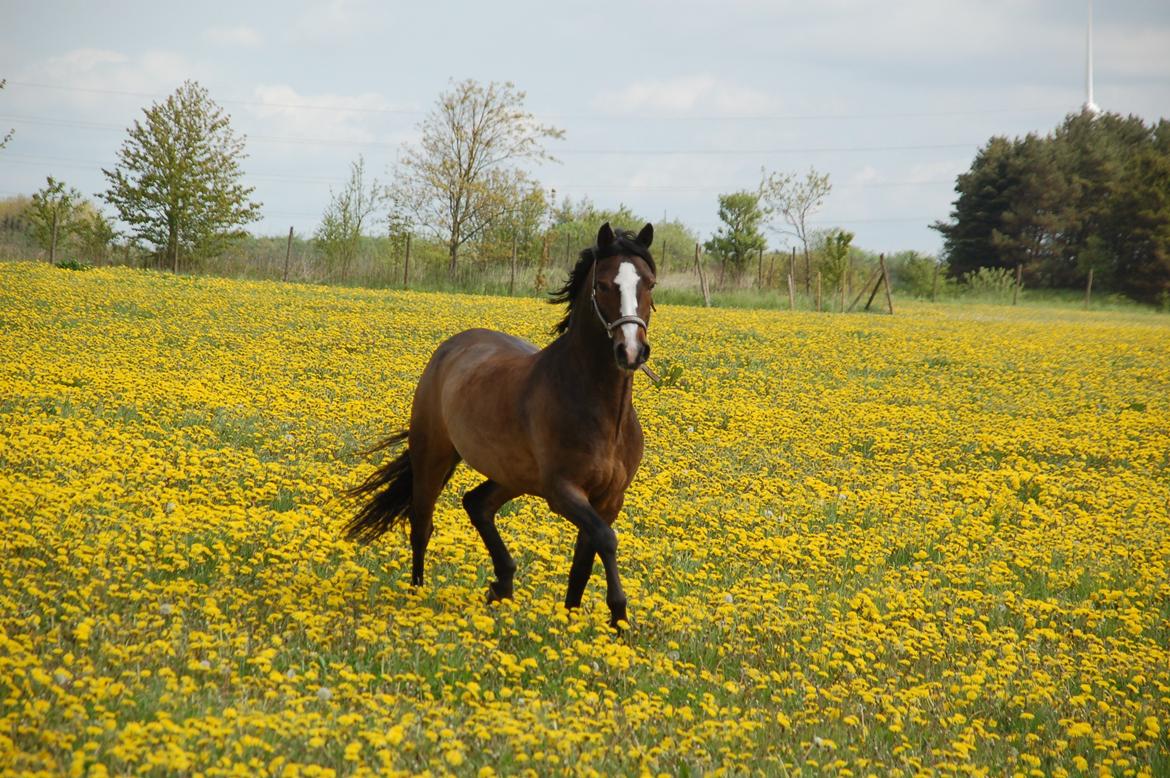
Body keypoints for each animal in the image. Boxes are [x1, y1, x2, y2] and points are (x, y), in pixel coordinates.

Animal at [346, 221, 659, 627]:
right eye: (604, 284)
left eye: (649, 283)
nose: (631, 351)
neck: (604, 413)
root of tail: (453, 346)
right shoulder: (562, 491)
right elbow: (606, 539)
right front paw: (618, 615)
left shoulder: (609, 498)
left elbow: (583, 562)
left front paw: (575, 620)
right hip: (434, 457)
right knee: (422, 523)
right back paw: (418, 593)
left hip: (513, 476)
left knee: (477, 504)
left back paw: (502, 586)